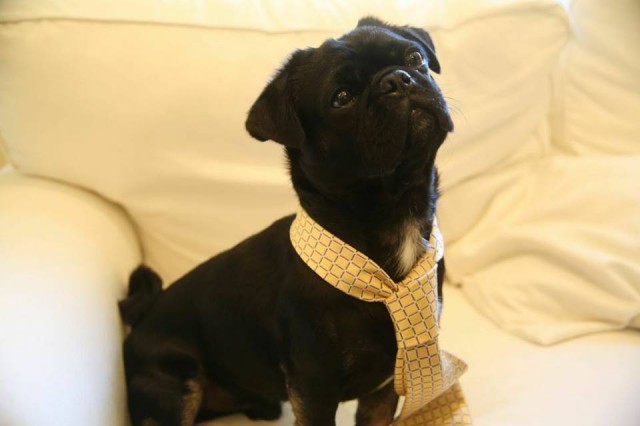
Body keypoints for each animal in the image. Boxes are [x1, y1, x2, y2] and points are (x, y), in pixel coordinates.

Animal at [119, 16, 450, 426]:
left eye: (415, 58)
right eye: (341, 98)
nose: (398, 79)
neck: (394, 216)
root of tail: (140, 317)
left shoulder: (385, 387)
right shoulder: (315, 390)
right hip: (175, 391)